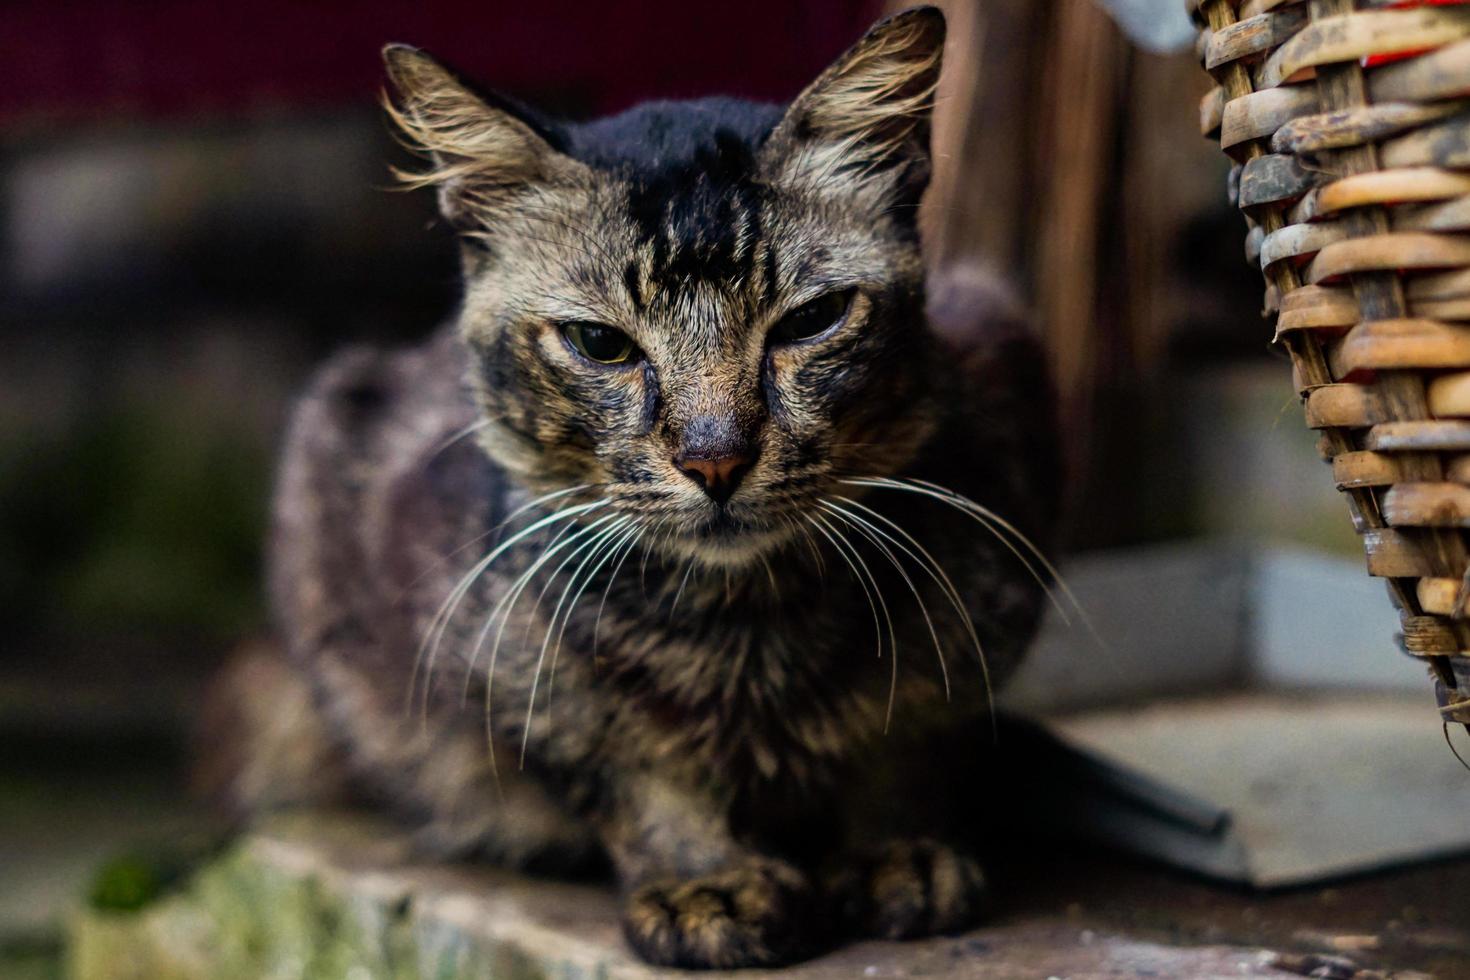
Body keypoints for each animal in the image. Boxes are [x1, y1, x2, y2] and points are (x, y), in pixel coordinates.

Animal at [249, 7, 1058, 969]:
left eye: (812, 320)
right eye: (600, 343)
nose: (715, 458)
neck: (744, 630)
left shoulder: (986, 598)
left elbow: (909, 737)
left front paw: (895, 850)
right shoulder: (509, 671)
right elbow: (631, 766)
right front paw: (705, 881)